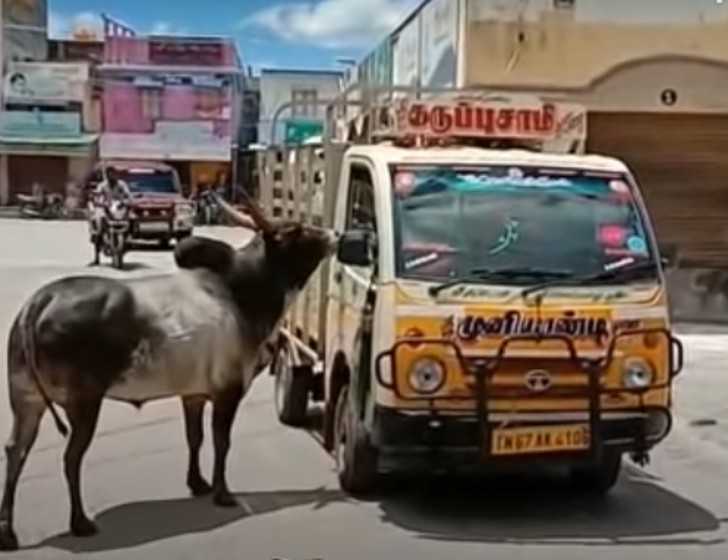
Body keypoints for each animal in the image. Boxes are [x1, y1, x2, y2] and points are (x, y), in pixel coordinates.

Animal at [0, 197, 336, 552]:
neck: (241, 294)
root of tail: (39, 302)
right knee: (71, 458)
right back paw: (80, 522)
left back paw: (8, 531)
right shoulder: (228, 391)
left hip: (26, 399)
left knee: (16, 451)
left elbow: (195, 437)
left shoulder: (193, 394)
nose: (334, 234)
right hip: (84, 403)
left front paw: (198, 483)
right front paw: (223, 493)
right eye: (296, 230)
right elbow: (221, 441)